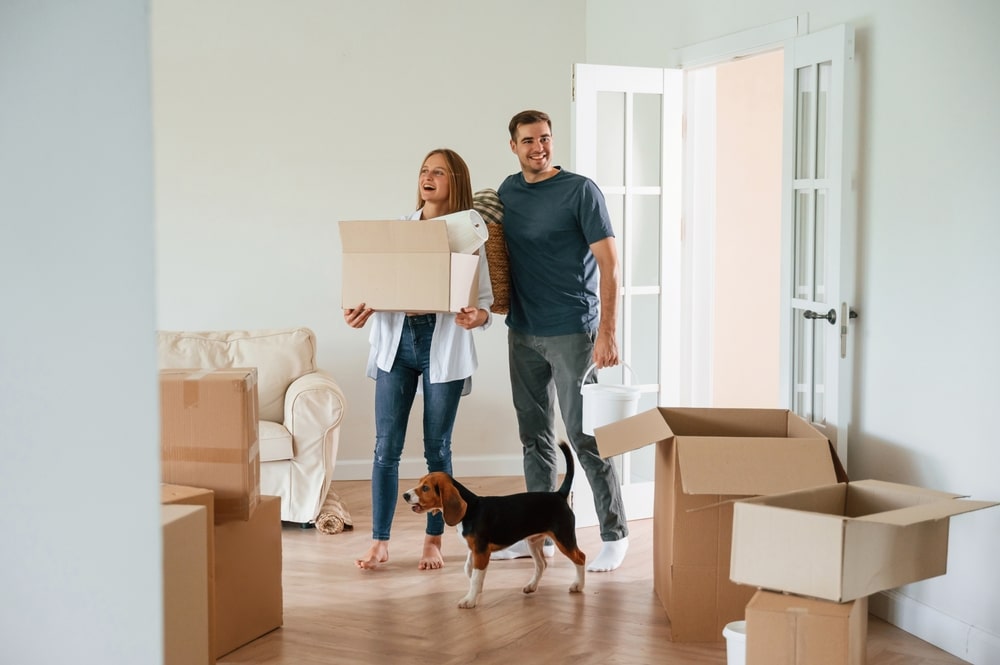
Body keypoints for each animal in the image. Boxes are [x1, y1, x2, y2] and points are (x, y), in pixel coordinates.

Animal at [400, 440, 584, 608]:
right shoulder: (475, 549)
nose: (405, 495)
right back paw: (531, 586)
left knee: (580, 558)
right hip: (533, 542)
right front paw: (476, 589)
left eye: (425, 488)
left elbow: (475, 576)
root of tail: (558, 494)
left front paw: (470, 599)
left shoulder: (481, 551)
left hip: (564, 538)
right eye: (419, 483)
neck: (471, 509)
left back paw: (578, 585)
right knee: (542, 564)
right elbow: (469, 569)